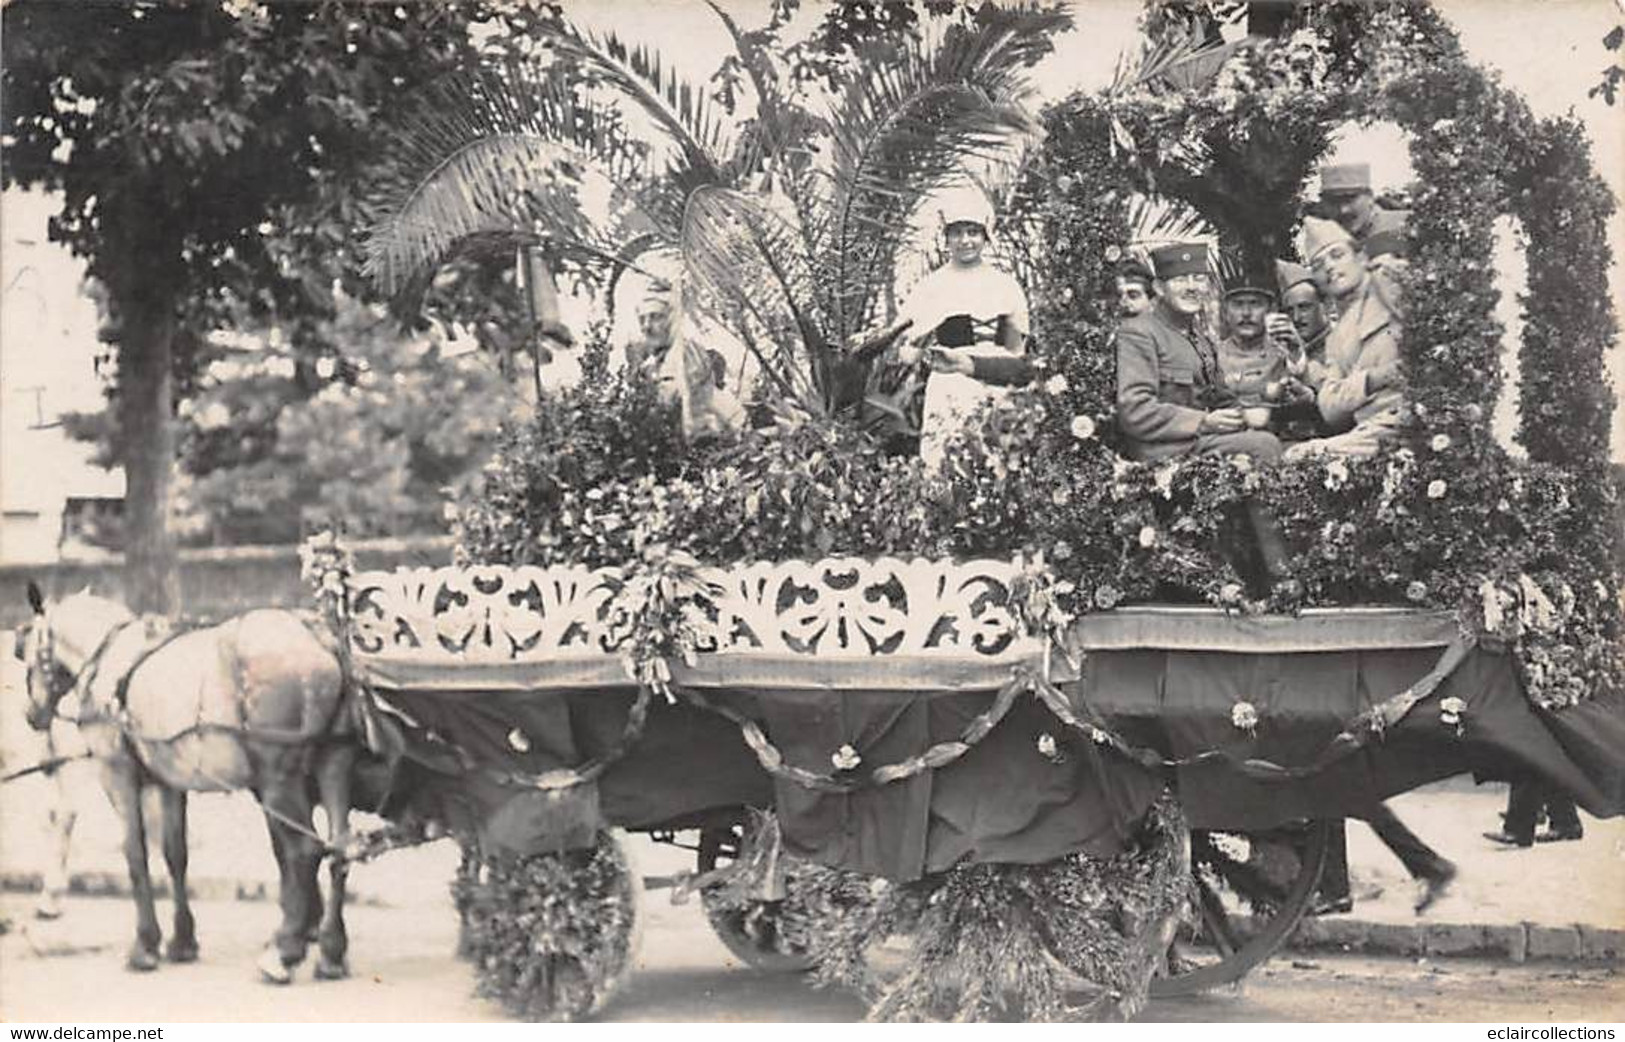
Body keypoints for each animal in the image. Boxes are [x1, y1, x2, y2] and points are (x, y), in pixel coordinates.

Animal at [16, 581, 359, 981]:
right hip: (332, 765)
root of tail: (319, 638)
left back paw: (285, 949)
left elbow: (135, 853)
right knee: (339, 849)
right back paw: (332, 951)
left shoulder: (117, 774)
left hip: (279, 780)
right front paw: (182, 940)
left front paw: (145, 945)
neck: (109, 659)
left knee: (305, 851)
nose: (32, 715)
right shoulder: (169, 783)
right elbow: (174, 853)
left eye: (27, 653)